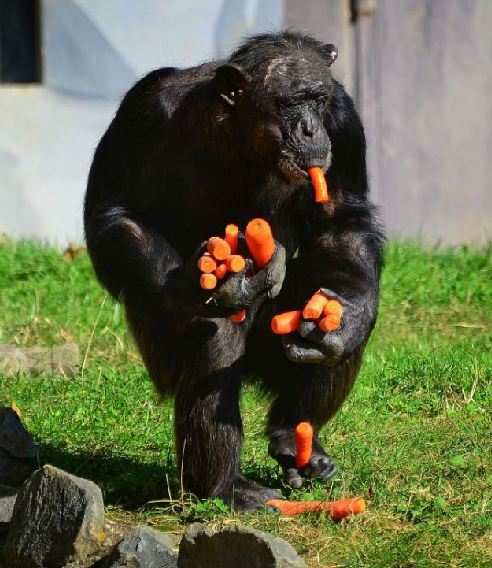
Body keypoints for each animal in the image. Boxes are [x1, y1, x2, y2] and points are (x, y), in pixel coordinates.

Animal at [84, 31, 384, 510]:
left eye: (318, 99)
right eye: (289, 102)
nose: (310, 128)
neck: (243, 136)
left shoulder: (344, 122)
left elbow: (341, 220)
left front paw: (349, 316)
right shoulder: (145, 110)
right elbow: (116, 209)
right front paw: (198, 282)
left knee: (326, 316)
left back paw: (296, 436)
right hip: (162, 355)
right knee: (218, 340)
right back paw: (227, 487)